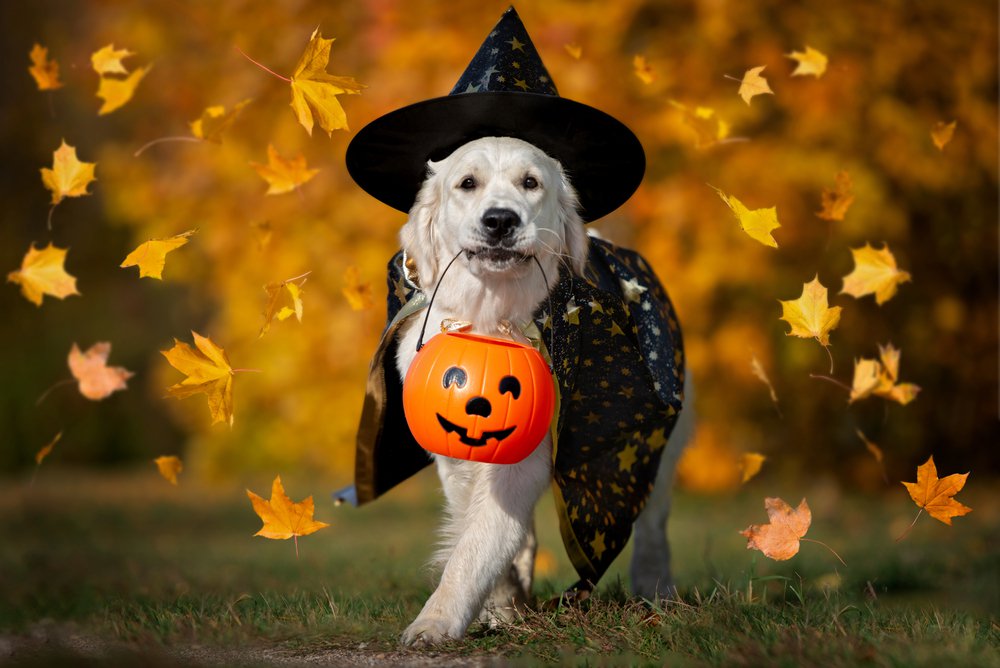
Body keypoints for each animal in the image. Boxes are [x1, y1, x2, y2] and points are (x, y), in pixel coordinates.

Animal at [392, 137, 696, 648]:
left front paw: (434, 622)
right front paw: (501, 607)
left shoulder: (522, 459)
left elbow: (474, 548)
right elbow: (482, 535)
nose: (500, 220)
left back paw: (656, 591)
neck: (494, 319)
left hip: (660, 442)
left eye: (530, 183)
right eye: (467, 183)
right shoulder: (457, 462)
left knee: (653, 523)